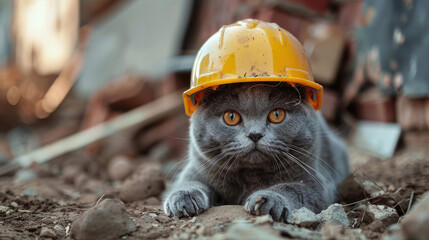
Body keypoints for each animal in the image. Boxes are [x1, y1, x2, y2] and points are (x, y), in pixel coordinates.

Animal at [162, 82, 350, 221]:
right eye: (231, 117)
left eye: (277, 114)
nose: (255, 134)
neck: (250, 177)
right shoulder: (196, 169)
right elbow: (189, 182)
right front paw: (184, 198)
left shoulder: (316, 184)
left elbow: (293, 188)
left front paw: (268, 200)